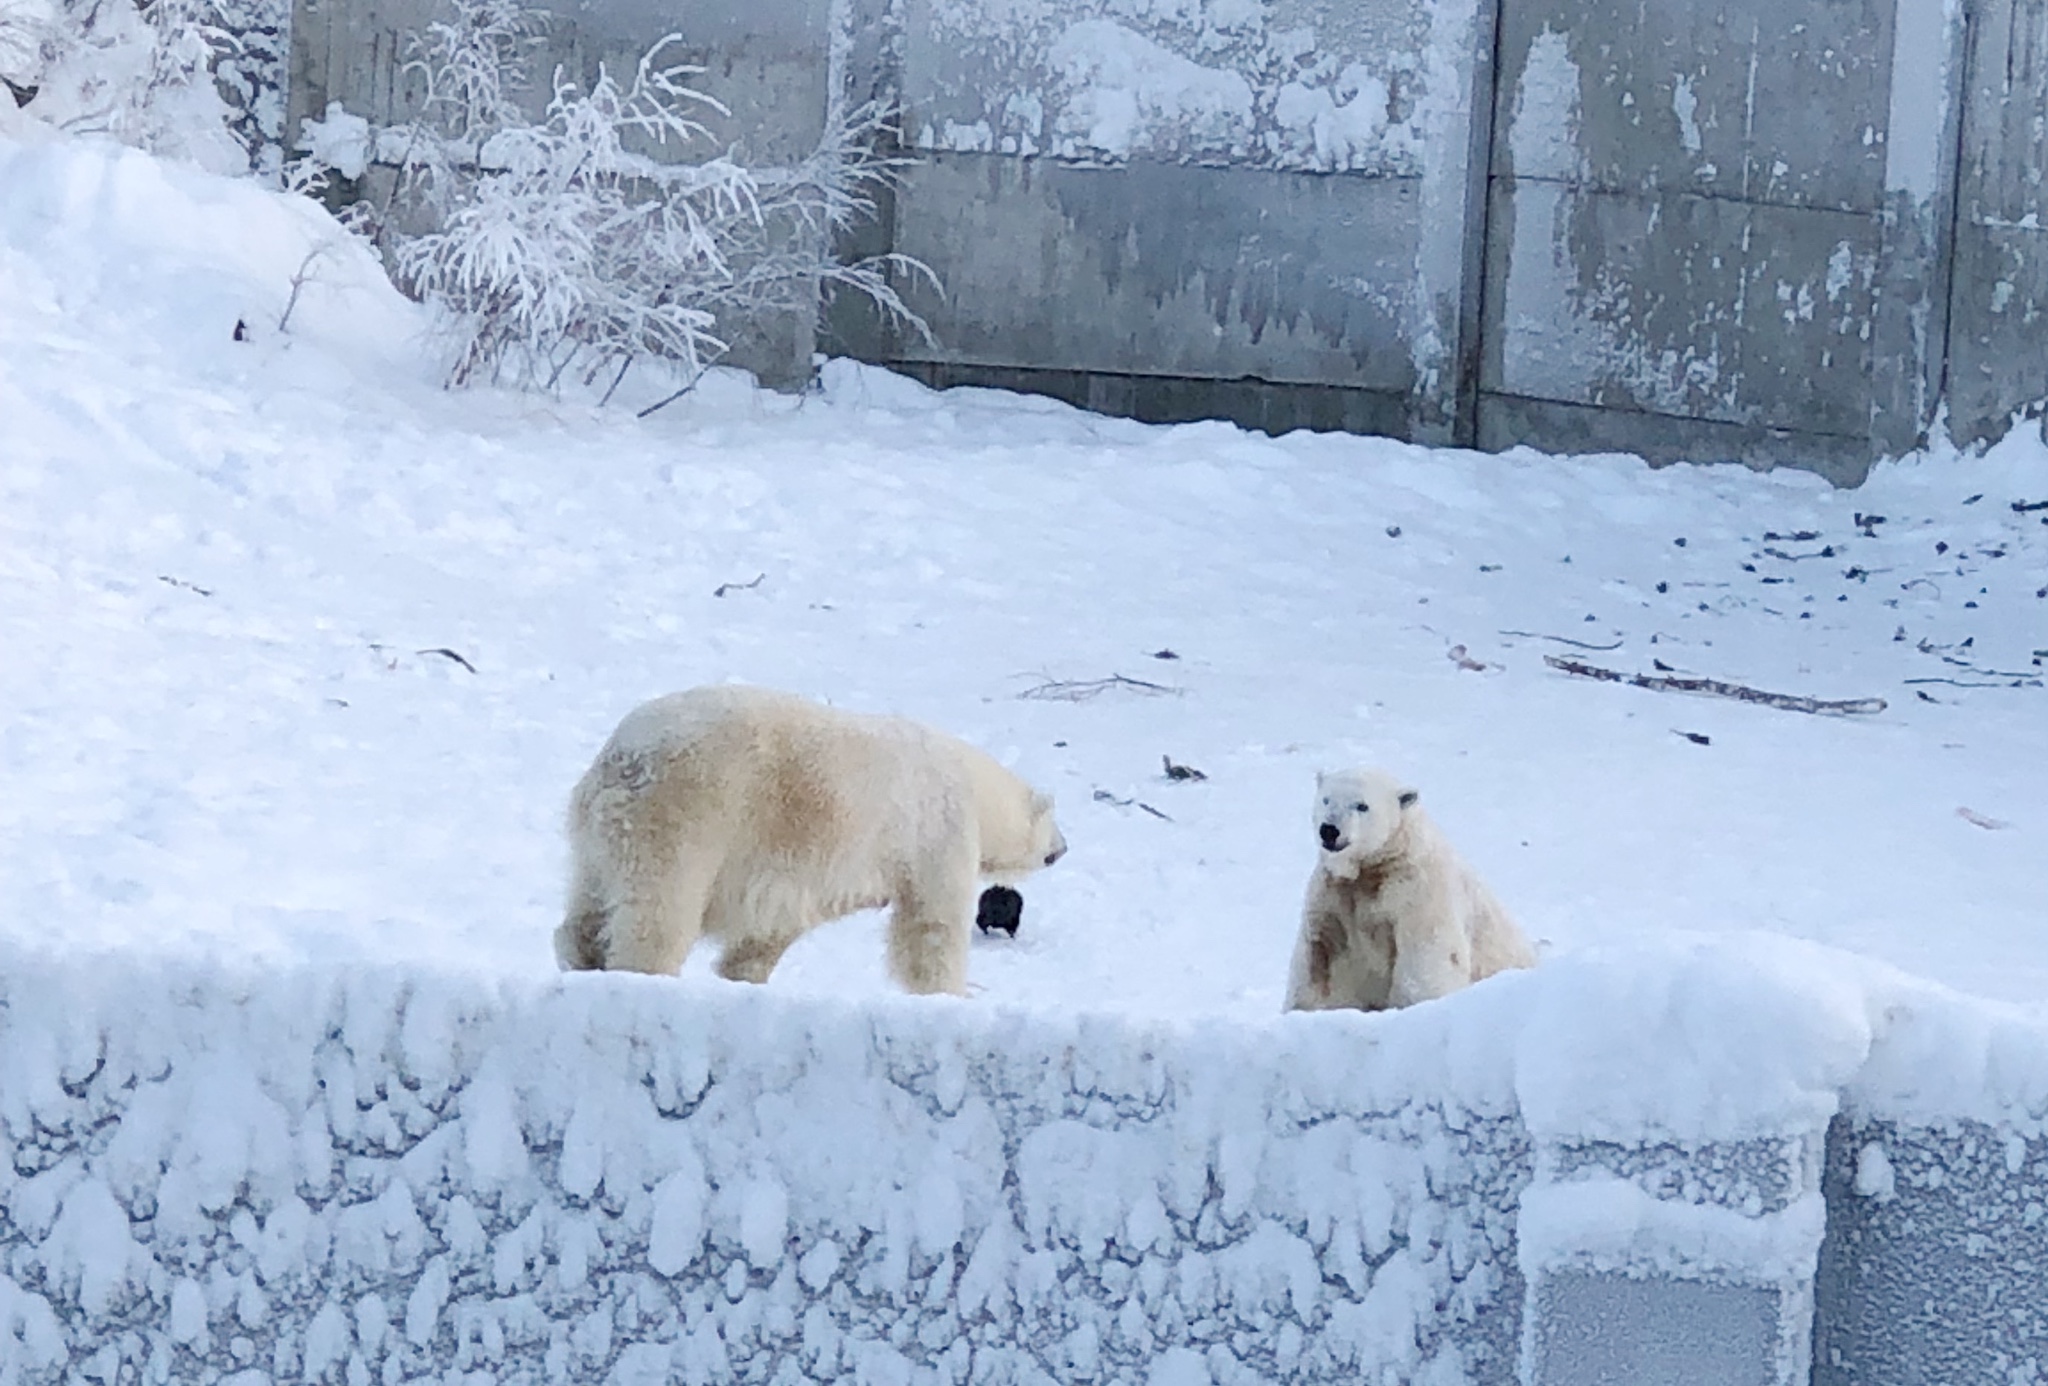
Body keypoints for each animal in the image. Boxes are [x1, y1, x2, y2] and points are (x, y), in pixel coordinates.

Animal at [561, 683, 1073, 994]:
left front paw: (744, 973)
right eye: (1054, 824)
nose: (1063, 848)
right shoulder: (935, 832)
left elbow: (777, 924)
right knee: (661, 910)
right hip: (686, 817)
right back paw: (641, 972)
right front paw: (952, 993)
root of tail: (625, 758)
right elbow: (931, 926)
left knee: (589, 903)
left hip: (600, 833)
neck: (972, 782)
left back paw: (581, 956)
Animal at [1277, 761, 1540, 1011]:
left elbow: (1426, 953)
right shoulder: (1333, 895)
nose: (1329, 830)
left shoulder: (1418, 890)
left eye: (1362, 806)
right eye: (1326, 799)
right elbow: (1319, 955)